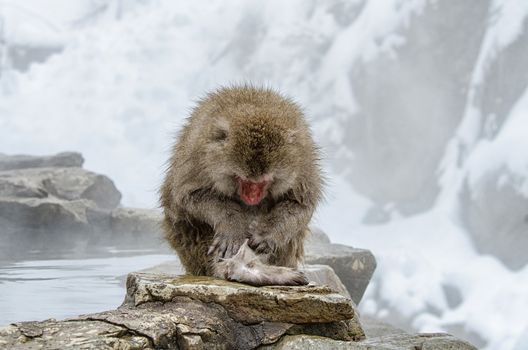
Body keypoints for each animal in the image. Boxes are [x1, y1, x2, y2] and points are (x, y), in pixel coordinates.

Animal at [161, 85, 324, 288]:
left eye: (263, 181)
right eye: (242, 179)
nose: (251, 197)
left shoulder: (302, 163)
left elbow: (300, 202)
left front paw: (267, 234)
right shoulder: (197, 157)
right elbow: (187, 197)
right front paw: (232, 226)